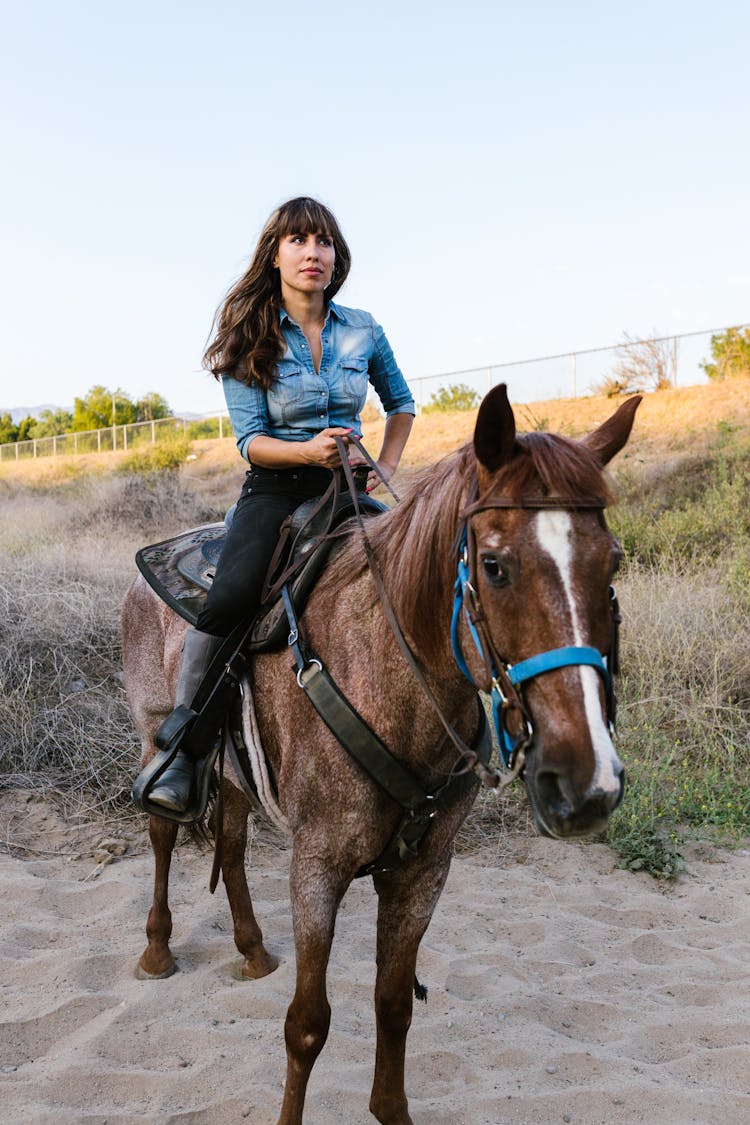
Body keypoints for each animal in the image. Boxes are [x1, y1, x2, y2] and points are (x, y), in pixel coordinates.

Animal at [122, 384, 638, 1125]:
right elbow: (307, 1023)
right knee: (164, 829)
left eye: (613, 561)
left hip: (238, 776)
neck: (394, 678)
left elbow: (393, 1004)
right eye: (494, 566)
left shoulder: (424, 871)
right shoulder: (318, 866)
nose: (584, 782)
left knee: (230, 842)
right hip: (153, 738)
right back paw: (158, 948)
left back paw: (252, 949)